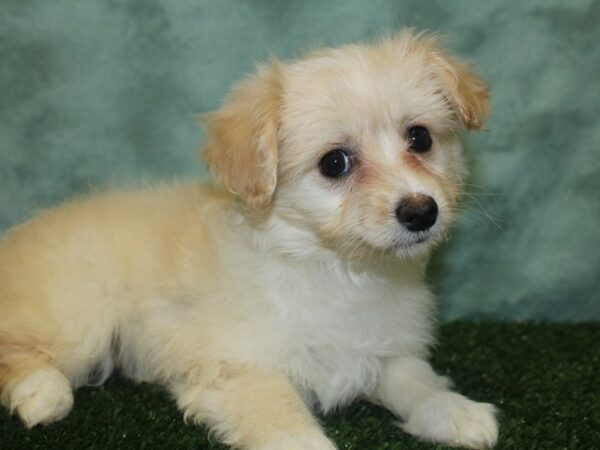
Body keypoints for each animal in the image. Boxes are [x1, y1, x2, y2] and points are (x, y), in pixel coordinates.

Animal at [0, 29, 496, 448]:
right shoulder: (240, 369)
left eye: (420, 138)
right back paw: (42, 392)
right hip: (79, 319)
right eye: (334, 163)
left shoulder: (385, 352)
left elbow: (417, 381)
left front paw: (457, 412)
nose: (421, 211)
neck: (337, 270)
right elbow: (285, 422)